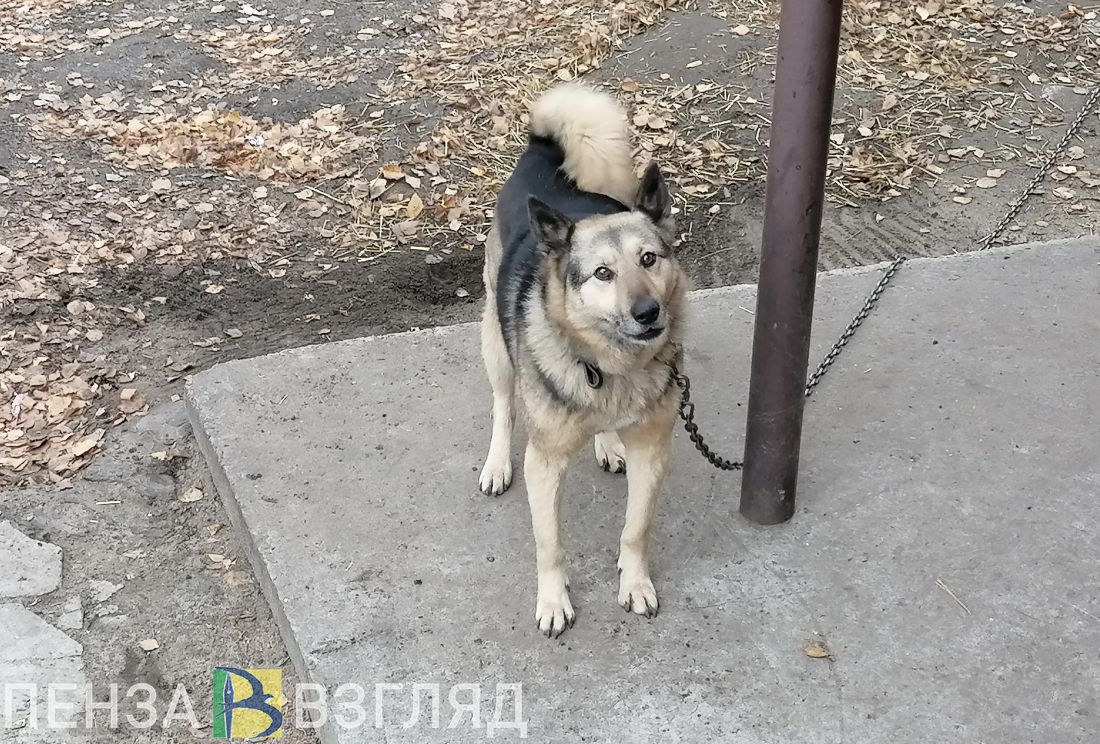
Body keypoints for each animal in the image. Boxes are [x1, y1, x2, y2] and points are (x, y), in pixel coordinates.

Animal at [478, 84, 689, 637]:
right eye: (602, 273)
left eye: (648, 259)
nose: (647, 312)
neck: (610, 367)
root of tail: (541, 152)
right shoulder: (545, 463)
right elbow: (549, 544)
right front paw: (553, 601)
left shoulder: (653, 451)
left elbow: (636, 529)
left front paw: (634, 583)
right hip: (495, 345)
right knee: (503, 405)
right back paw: (495, 462)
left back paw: (607, 442)